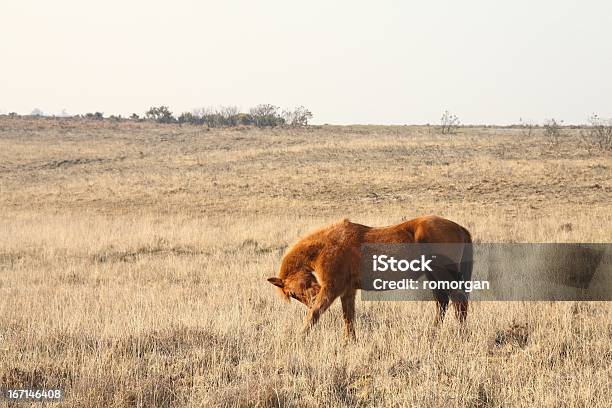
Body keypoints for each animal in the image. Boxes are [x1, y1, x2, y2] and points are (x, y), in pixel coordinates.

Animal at [268, 215, 474, 342]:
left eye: (292, 292)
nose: (311, 300)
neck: (328, 245)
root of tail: (459, 227)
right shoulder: (347, 291)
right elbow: (348, 318)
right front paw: (350, 342)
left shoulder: (331, 289)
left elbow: (315, 315)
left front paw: (300, 337)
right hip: (435, 277)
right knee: (443, 303)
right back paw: (434, 333)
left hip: (443, 275)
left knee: (458, 303)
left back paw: (460, 335)